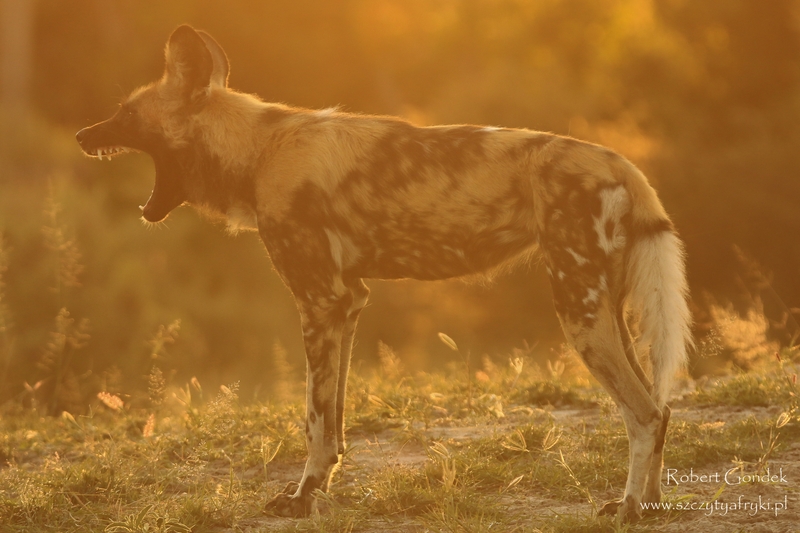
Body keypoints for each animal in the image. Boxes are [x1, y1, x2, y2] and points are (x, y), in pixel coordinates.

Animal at [75, 26, 692, 520]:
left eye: (126, 114)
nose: (82, 135)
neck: (259, 149)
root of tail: (620, 161)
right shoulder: (346, 302)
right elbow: (334, 422)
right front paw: (319, 488)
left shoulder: (320, 300)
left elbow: (313, 419)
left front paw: (301, 498)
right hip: (604, 309)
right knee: (661, 408)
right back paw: (651, 503)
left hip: (578, 312)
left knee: (643, 413)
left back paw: (629, 506)